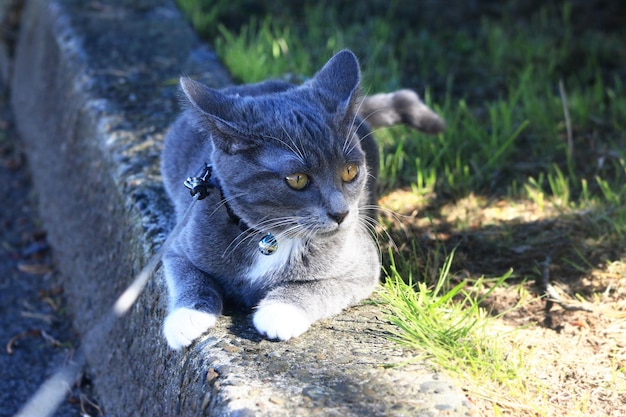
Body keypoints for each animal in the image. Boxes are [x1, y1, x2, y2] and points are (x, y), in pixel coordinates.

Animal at [161, 48, 444, 348]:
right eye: (297, 179)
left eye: (350, 171)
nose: (341, 213)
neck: (272, 238)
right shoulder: (179, 245)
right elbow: (190, 277)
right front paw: (186, 318)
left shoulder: (363, 264)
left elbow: (317, 286)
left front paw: (278, 312)